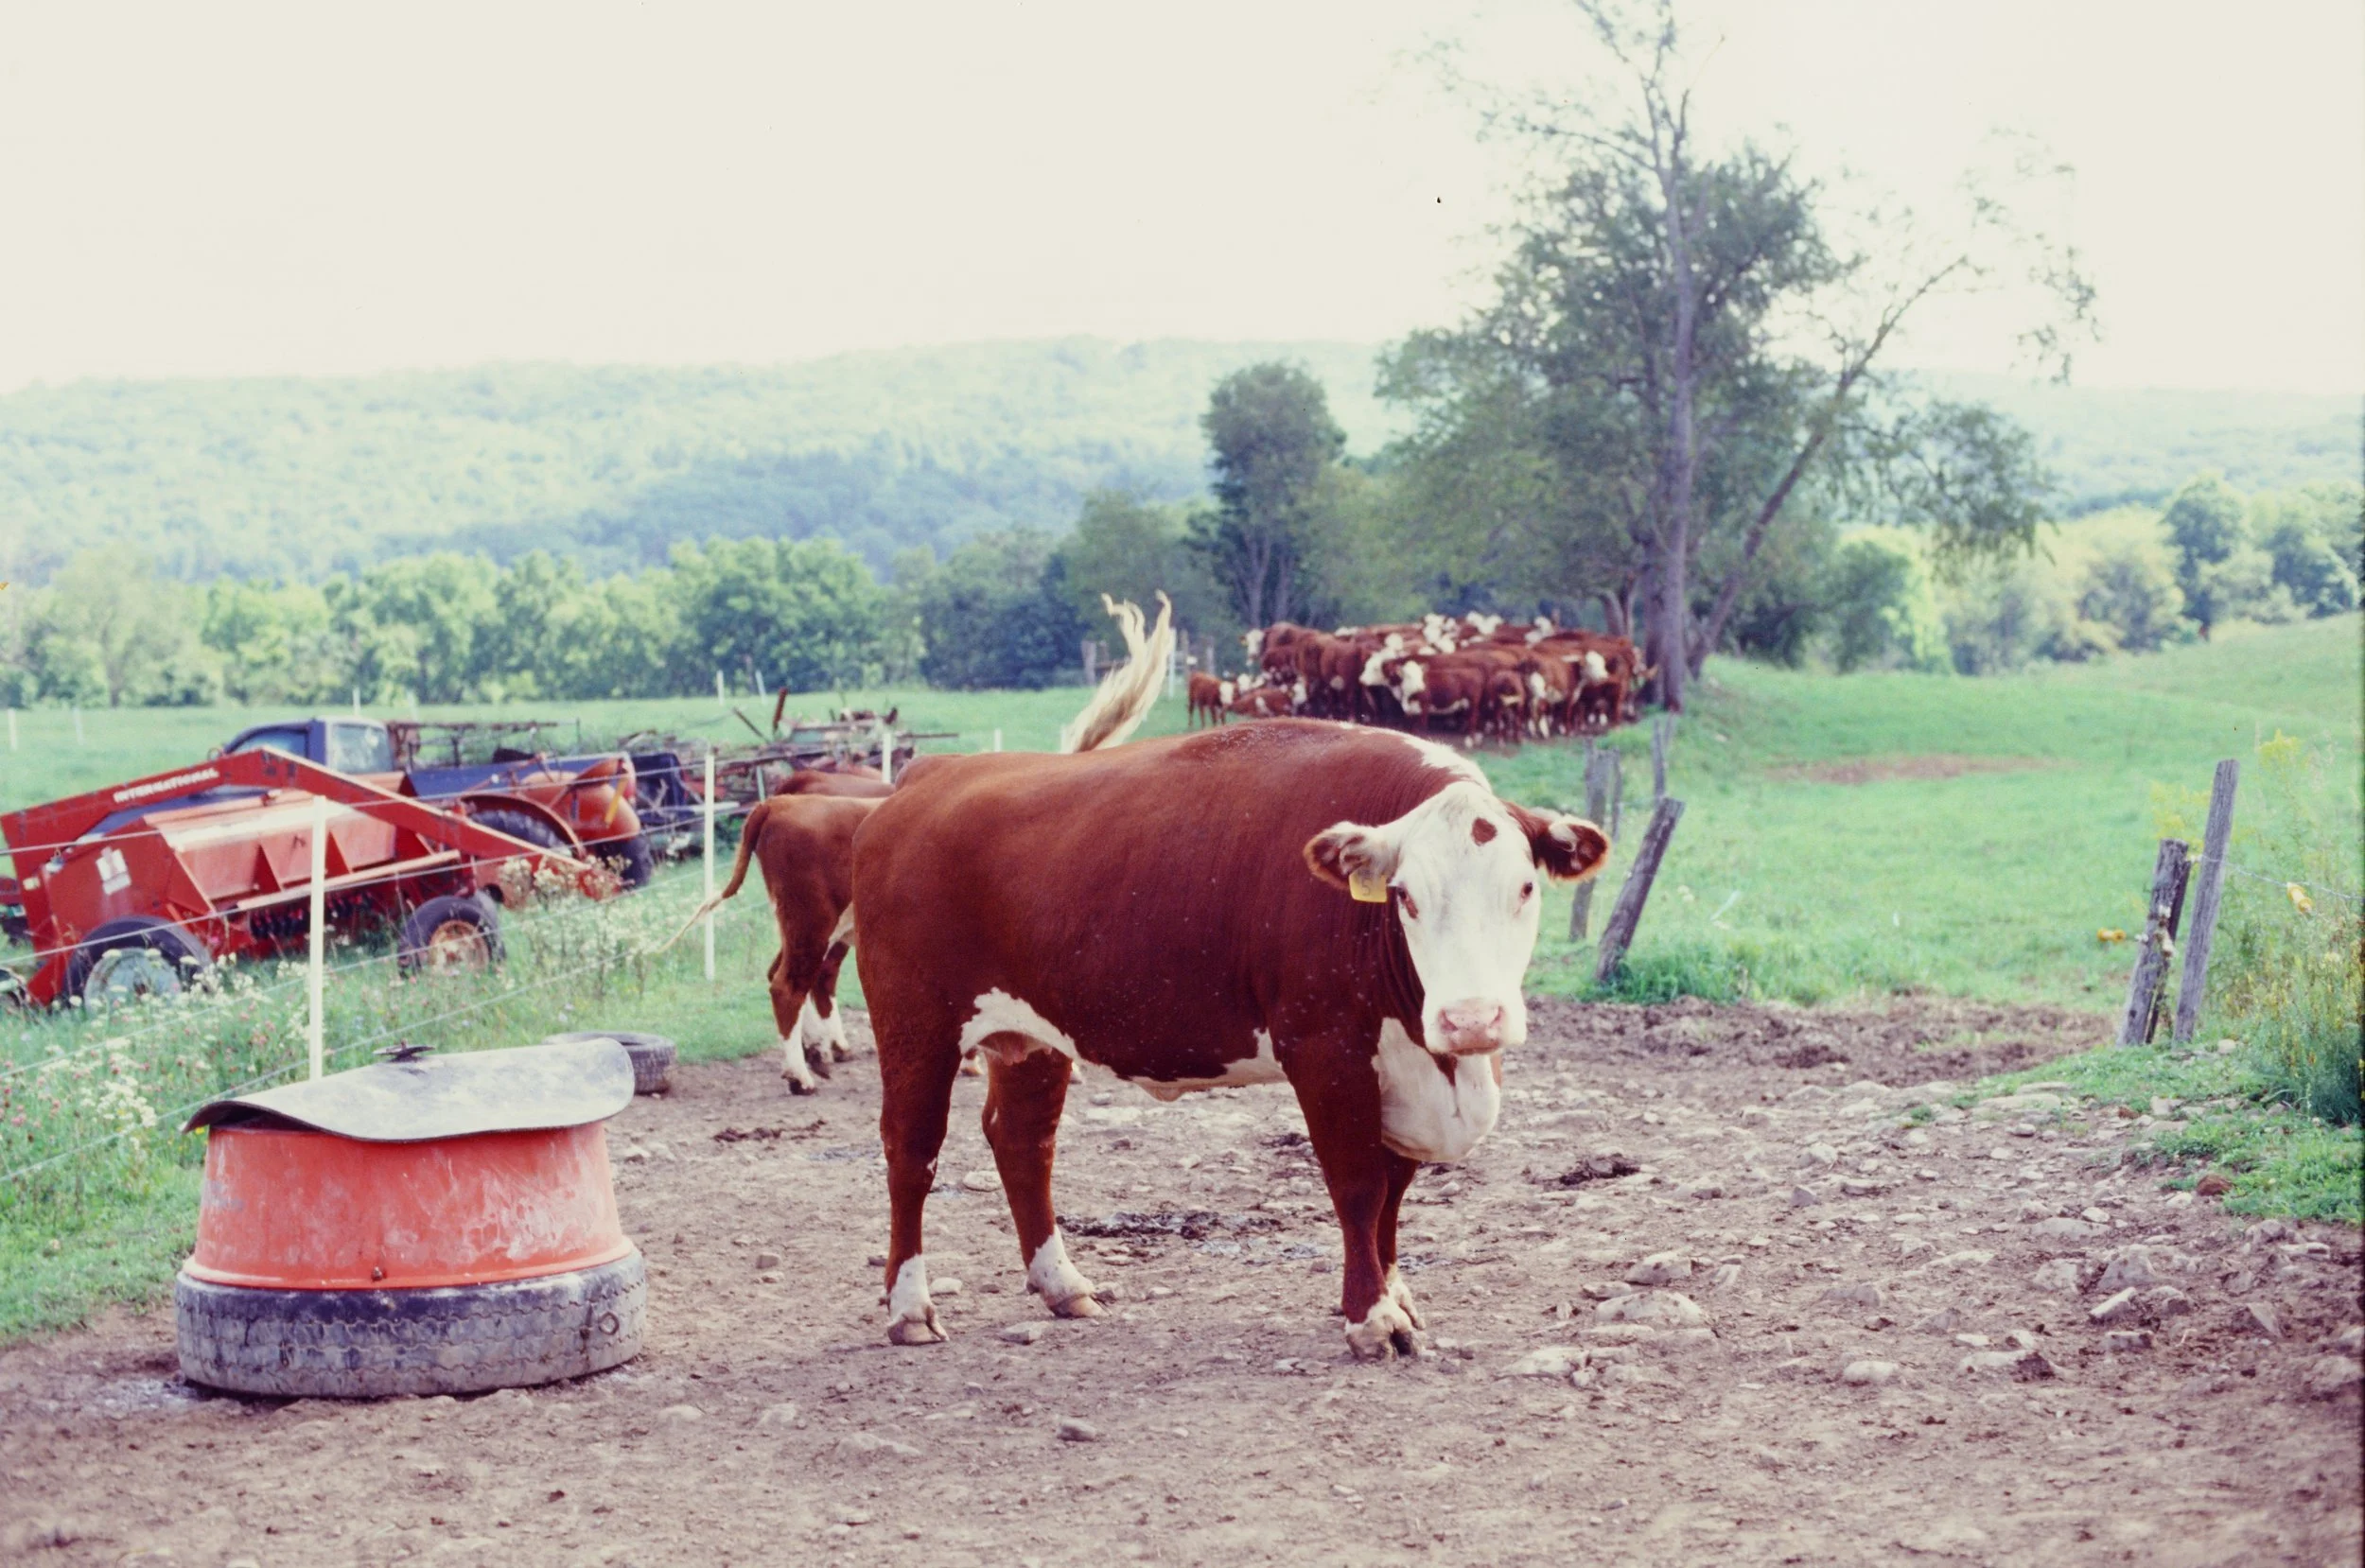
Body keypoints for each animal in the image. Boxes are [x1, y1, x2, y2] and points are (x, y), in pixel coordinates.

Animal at [854, 720, 1606, 1358]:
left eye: (1526, 887)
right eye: (1404, 896)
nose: (1471, 1019)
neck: (1442, 1070)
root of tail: (932, 774)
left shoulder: (1401, 1070)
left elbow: (1394, 1191)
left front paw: (1395, 1297)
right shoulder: (1324, 1049)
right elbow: (1360, 1186)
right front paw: (1371, 1318)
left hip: (1031, 1038)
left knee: (1023, 1142)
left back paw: (1063, 1286)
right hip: (915, 1025)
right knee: (911, 1153)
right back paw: (909, 1309)